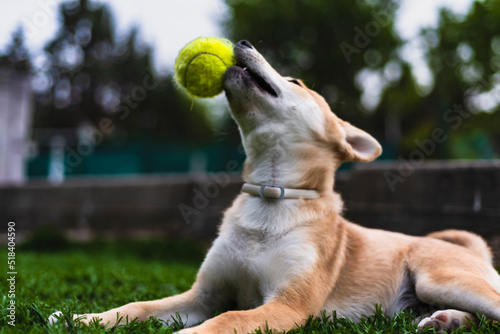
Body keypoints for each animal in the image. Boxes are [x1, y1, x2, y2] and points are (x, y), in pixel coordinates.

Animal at [50, 41, 500, 334]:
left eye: (296, 80)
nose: (242, 42)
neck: (271, 196)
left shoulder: (287, 305)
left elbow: (227, 320)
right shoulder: (202, 296)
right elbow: (138, 306)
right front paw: (83, 319)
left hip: (438, 278)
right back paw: (445, 321)